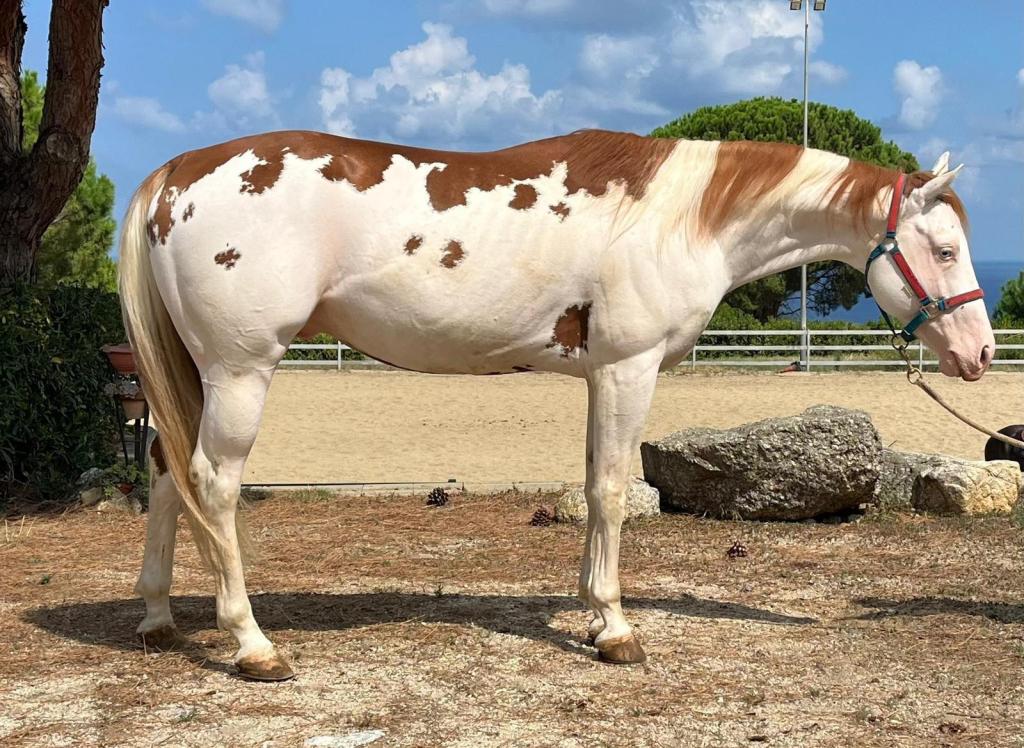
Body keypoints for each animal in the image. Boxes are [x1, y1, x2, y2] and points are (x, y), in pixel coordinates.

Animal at [119, 129, 994, 680]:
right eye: (947, 249)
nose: (981, 353)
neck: (682, 216)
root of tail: (177, 173)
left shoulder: (600, 377)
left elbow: (592, 486)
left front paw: (591, 612)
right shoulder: (629, 371)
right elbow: (610, 491)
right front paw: (616, 629)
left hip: (195, 373)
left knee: (165, 470)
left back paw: (158, 617)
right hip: (241, 371)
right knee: (213, 484)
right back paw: (252, 645)